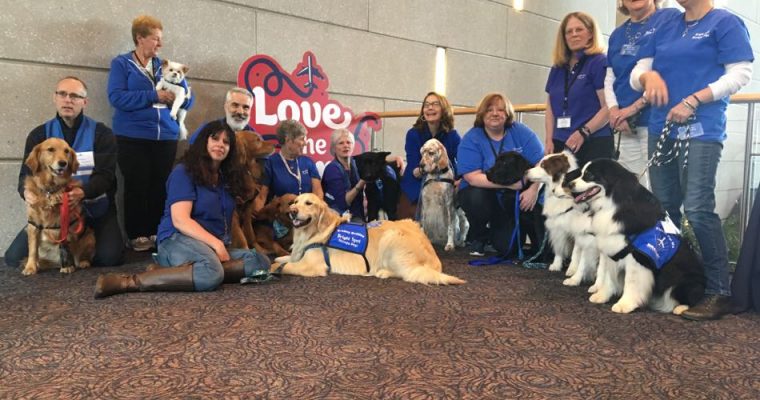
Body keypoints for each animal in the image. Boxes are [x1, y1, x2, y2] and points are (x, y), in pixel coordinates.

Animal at [568, 158, 708, 314]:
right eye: (581, 173)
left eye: (589, 175)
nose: (570, 184)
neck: (613, 203)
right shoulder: (612, 251)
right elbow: (609, 276)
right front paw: (602, 296)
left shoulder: (636, 258)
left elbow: (631, 282)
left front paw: (625, 304)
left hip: (684, 280)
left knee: (691, 296)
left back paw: (680, 308)